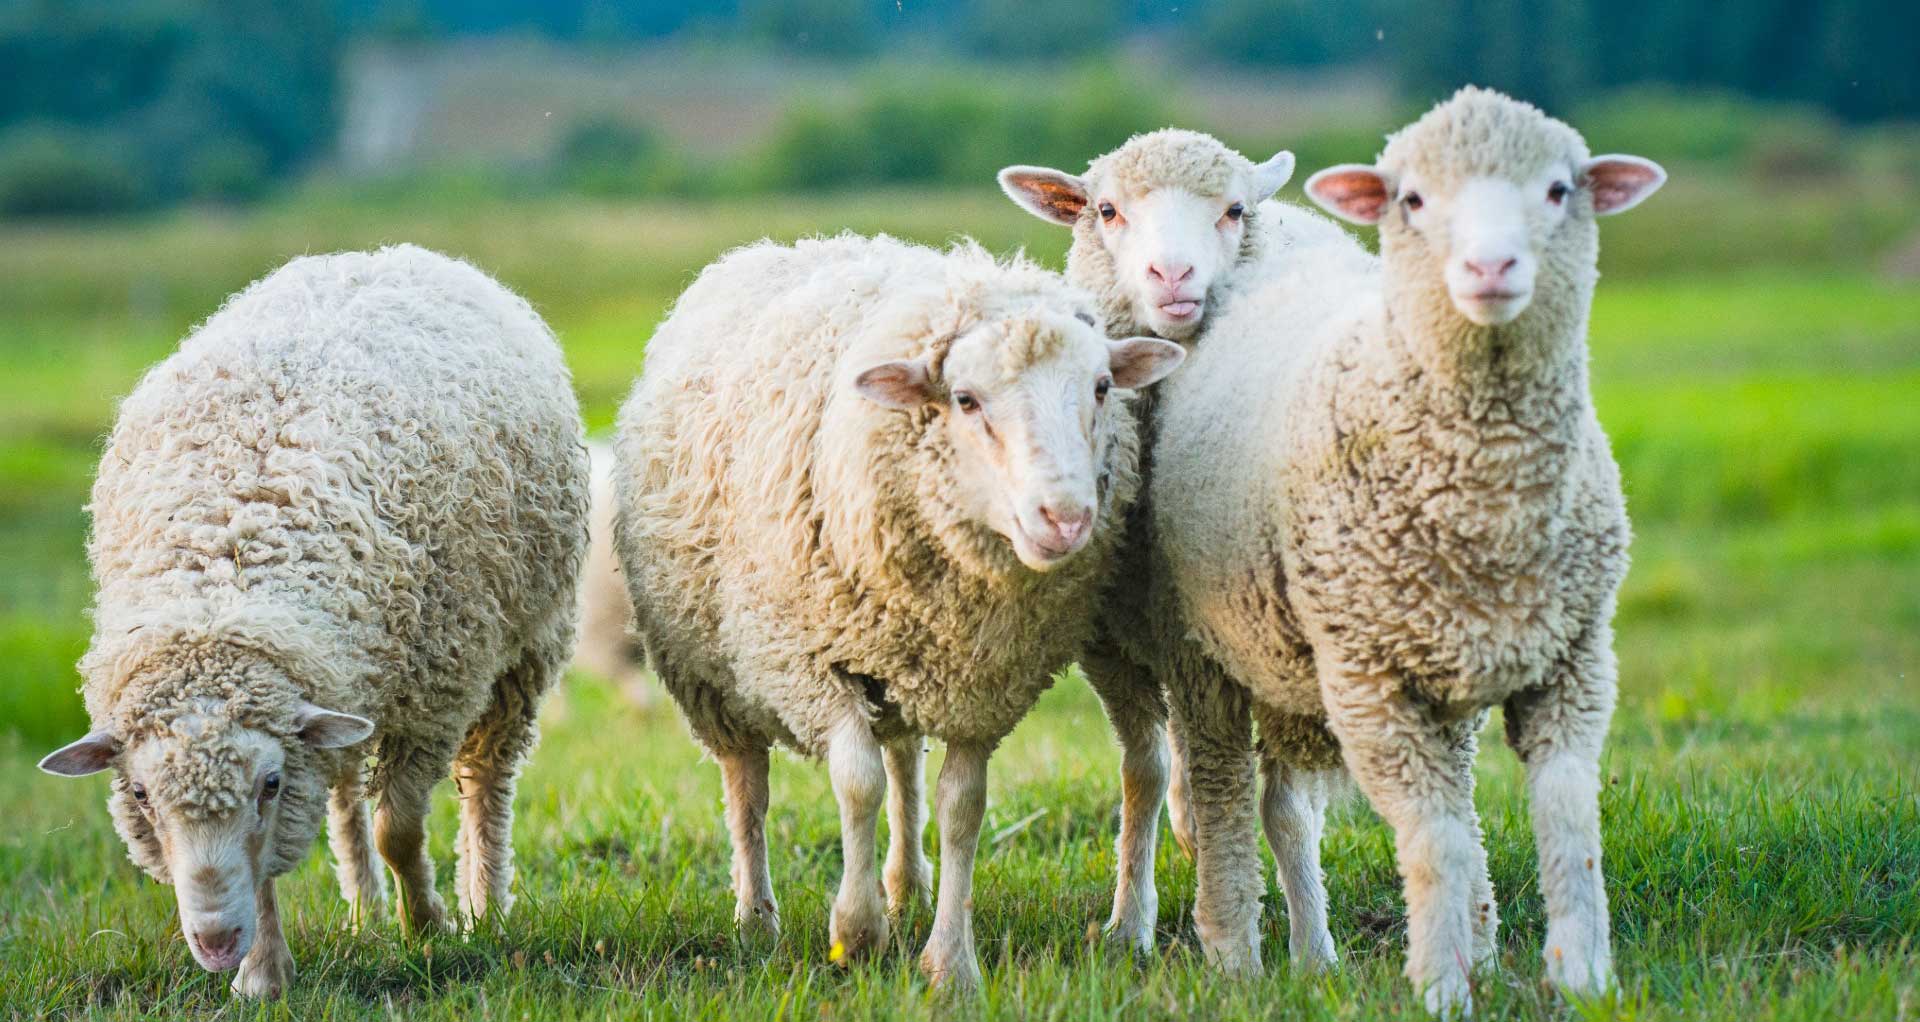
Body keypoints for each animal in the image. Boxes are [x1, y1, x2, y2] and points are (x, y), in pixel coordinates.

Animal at [38, 245, 590, 999]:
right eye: (142, 793)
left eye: (268, 784)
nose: (216, 942)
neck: (225, 581)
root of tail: (389, 253)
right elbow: (271, 867)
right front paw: (264, 976)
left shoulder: (434, 695)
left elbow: (399, 831)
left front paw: (429, 927)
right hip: (345, 680)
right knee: (344, 797)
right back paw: (363, 912)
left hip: (521, 648)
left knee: (486, 781)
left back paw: (484, 906)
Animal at [611, 233, 1184, 988]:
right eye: (965, 400)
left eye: (1099, 388)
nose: (1064, 518)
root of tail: (784, 245)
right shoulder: (809, 661)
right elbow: (855, 786)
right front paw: (856, 934)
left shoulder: (980, 685)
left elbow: (961, 807)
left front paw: (950, 962)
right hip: (710, 670)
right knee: (748, 787)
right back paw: (756, 917)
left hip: (899, 656)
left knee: (904, 756)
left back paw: (908, 884)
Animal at [998, 129, 1363, 954]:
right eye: (1105, 210)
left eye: (1234, 210)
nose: (1173, 275)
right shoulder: (1112, 645)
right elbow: (1145, 774)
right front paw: (1129, 925)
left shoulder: (1266, 642)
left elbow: (1285, 809)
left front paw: (1314, 948)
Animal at [1135, 87, 1665, 1013]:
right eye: (1413, 200)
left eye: (1560, 190)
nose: (1490, 267)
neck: (1488, 503)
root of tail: (1289, 227)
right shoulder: (1368, 683)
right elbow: (1432, 838)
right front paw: (1443, 988)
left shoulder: (1575, 660)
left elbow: (1569, 821)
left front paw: (1584, 978)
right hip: (1204, 647)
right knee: (1223, 786)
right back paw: (1234, 950)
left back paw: (1481, 935)